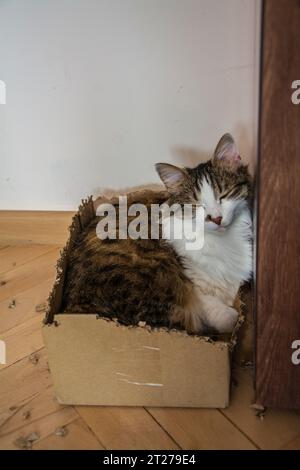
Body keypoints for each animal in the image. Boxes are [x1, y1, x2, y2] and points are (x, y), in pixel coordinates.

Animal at [62, 133, 253, 334]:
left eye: (224, 194)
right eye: (195, 205)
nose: (216, 218)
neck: (221, 241)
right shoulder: (194, 289)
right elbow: (225, 315)